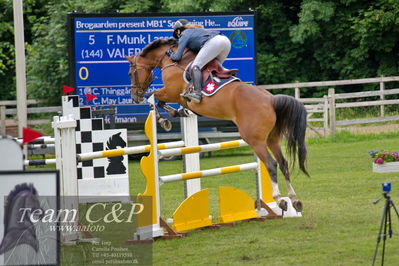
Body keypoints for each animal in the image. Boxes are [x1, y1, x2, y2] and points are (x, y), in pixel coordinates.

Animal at [127, 37, 310, 212]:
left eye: (130, 73)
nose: (135, 97)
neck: (170, 59)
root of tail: (271, 100)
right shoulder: (175, 96)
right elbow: (160, 101)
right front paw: (177, 113)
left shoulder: (171, 92)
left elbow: (153, 97)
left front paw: (164, 120)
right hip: (272, 138)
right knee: (283, 163)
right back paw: (294, 200)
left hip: (255, 140)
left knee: (271, 164)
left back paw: (279, 200)